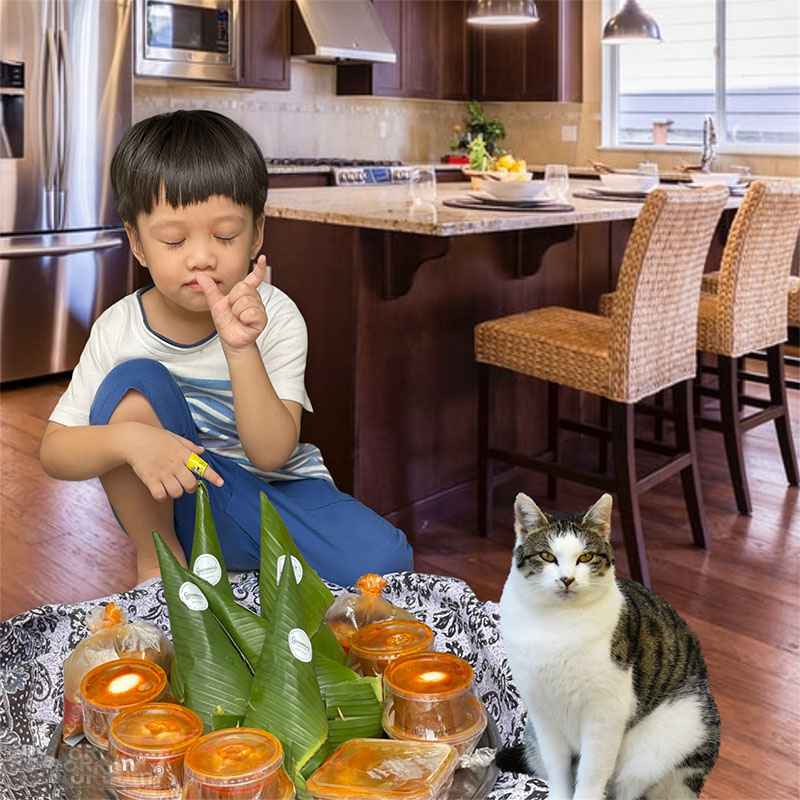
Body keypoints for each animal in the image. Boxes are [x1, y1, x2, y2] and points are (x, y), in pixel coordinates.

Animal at [496, 494, 720, 800]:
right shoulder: (542, 712)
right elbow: (557, 767)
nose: (567, 579)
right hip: (532, 737)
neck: (556, 622)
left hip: (672, 736)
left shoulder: (605, 716)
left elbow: (592, 773)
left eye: (586, 557)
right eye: (547, 556)